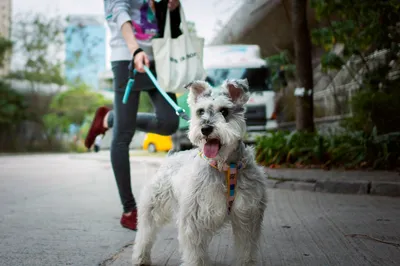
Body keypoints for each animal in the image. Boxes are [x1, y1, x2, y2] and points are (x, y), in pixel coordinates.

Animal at [133, 79, 268, 266]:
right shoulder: (193, 220)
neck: (225, 168)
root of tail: (170, 157)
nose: (205, 129)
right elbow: (195, 253)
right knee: (145, 234)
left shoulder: (248, 216)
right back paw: (140, 257)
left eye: (224, 111)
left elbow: (246, 249)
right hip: (152, 209)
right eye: (200, 111)